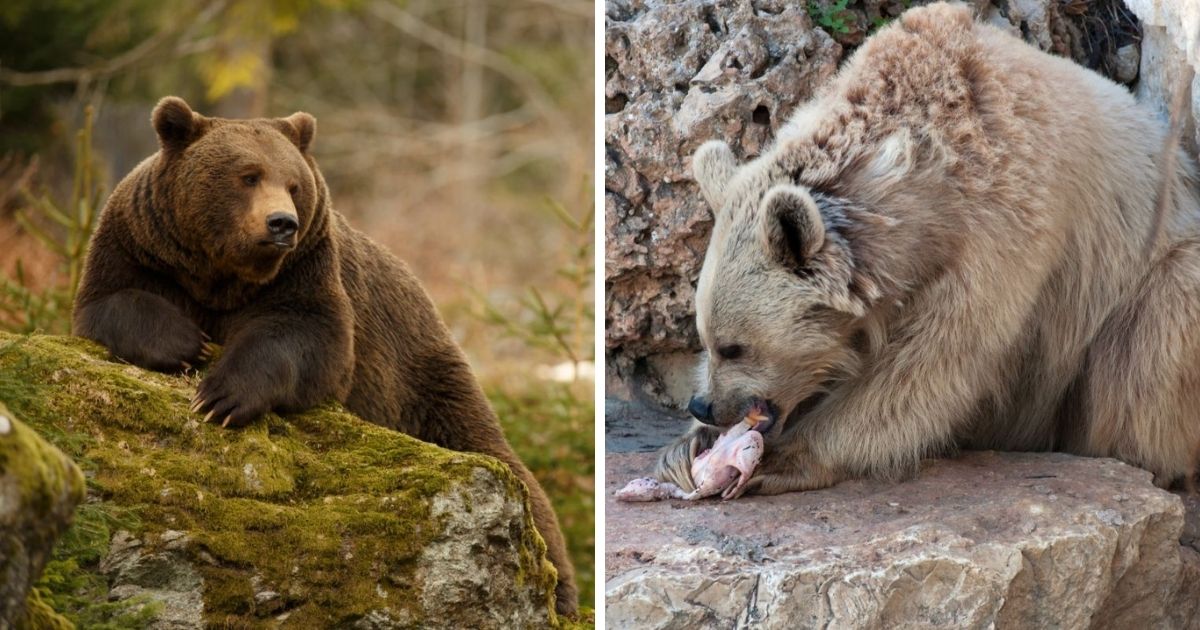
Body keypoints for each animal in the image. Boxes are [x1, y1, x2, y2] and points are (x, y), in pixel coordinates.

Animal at [72, 97, 577, 614]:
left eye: (293, 184)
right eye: (248, 175)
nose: (282, 223)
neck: (222, 275)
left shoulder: (306, 271)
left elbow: (309, 338)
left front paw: (221, 396)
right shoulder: (140, 246)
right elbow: (111, 300)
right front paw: (186, 344)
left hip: (421, 379)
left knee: (509, 473)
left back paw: (558, 589)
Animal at [657, 2, 1200, 497]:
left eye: (734, 345)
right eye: (704, 337)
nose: (704, 406)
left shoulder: (1003, 233)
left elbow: (931, 364)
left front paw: (781, 459)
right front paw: (684, 450)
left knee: (1160, 321)